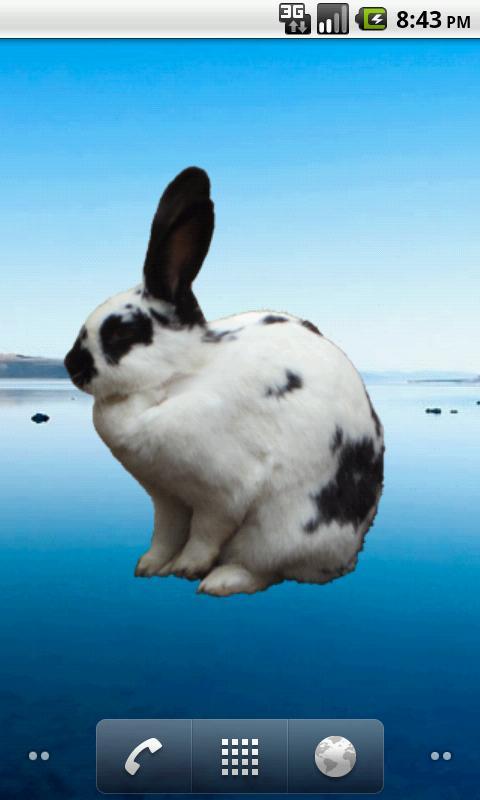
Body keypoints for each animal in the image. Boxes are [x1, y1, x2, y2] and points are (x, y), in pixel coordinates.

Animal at [64, 167, 384, 596]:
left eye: (122, 333)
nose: (70, 366)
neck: (174, 380)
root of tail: (349, 555)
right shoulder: (167, 497)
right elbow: (166, 533)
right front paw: (150, 566)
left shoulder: (223, 493)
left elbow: (205, 533)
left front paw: (187, 567)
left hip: (281, 531)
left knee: (264, 569)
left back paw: (219, 580)